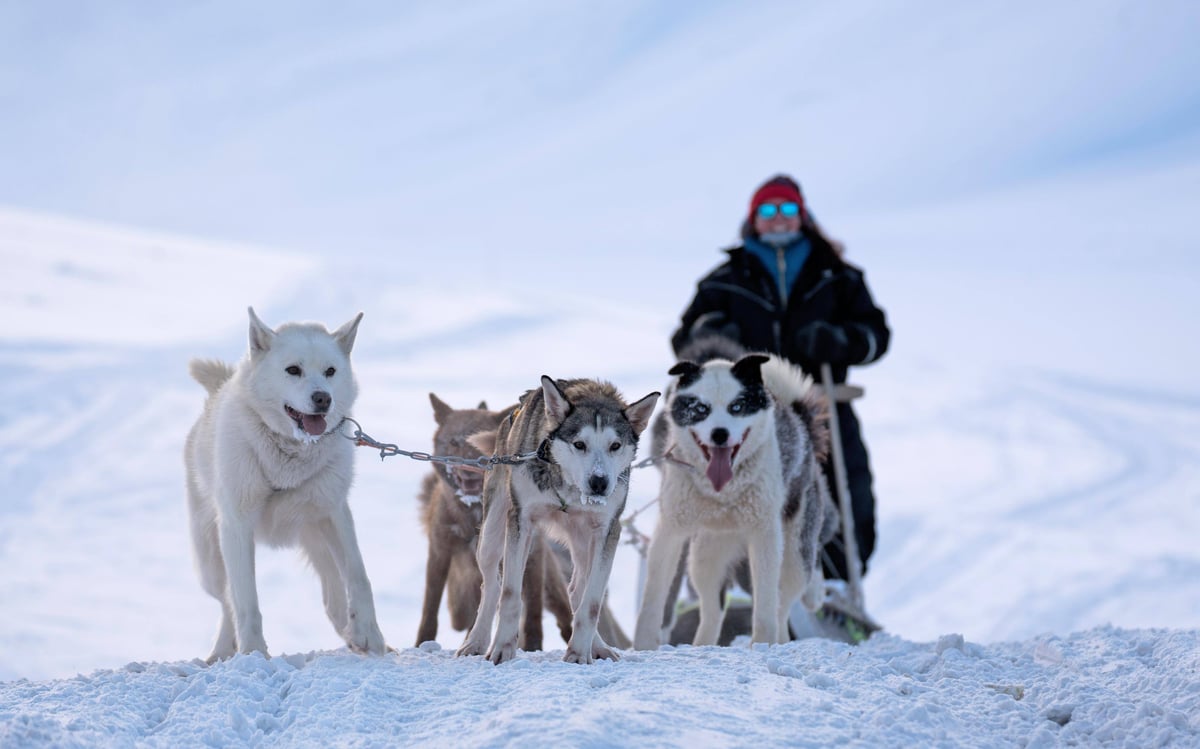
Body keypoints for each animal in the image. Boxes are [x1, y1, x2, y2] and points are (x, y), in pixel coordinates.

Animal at [182, 307, 384, 657]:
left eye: (330, 371)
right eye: (293, 370)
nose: (323, 398)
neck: (289, 459)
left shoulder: (335, 513)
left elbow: (359, 576)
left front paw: (370, 635)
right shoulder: (237, 527)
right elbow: (246, 601)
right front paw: (253, 653)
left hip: (317, 537)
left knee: (332, 598)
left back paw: (352, 634)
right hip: (210, 560)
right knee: (226, 601)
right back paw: (222, 651)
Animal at [456, 376, 662, 662]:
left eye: (615, 446)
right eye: (579, 444)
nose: (599, 483)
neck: (569, 491)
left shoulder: (608, 531)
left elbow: (592, 602)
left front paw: (579, 652)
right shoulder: (521, 520)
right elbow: (510, 593)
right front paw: (502, 648)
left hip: (584, 541)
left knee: (578, 590)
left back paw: (597, 646)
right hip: (491, 534)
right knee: (492, 585)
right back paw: (476, 641)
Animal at [638, 340, 835, 648]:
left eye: (737, 406)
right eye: (701, 408)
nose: (720, 434)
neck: (722, 495)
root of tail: (799, 422)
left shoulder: (765, 537)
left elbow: (765, 604)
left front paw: (763, 644)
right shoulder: (671, 531)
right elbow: (654, 596)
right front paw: (644, 645)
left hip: (793, 555)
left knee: (783, 605)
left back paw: (781, 636)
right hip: (704, 558)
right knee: (713, 608)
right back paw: (702, 646)